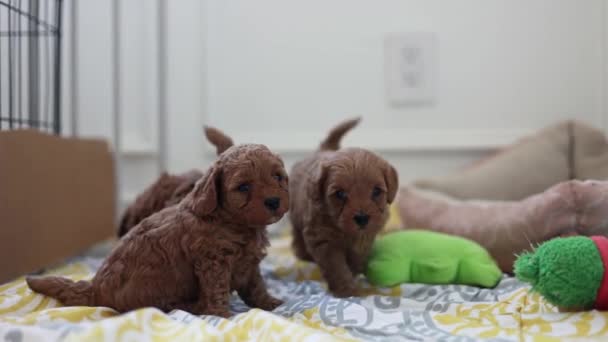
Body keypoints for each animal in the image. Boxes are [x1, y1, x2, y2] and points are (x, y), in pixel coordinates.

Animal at [29, 142, 290, 318]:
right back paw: (192, 307)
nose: (273, 202)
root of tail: (94, 288)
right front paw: (222, 315)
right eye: (243, 187)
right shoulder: (213, 263)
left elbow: (256, 286)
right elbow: (217, 290)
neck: (233, 222)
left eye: (278, 176)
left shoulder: (249, 263)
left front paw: (270, 303)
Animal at [290, 119, 400, 298]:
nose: (362, 218)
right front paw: (346, 289)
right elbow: (336, 266)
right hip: (295, 214)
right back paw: (303, 253)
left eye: (376, 191)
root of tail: (323, 149)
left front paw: (355, 270)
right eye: (340, 193)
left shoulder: (366, 236)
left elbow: (357, 256)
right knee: (297, 235)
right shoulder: (323, 239)